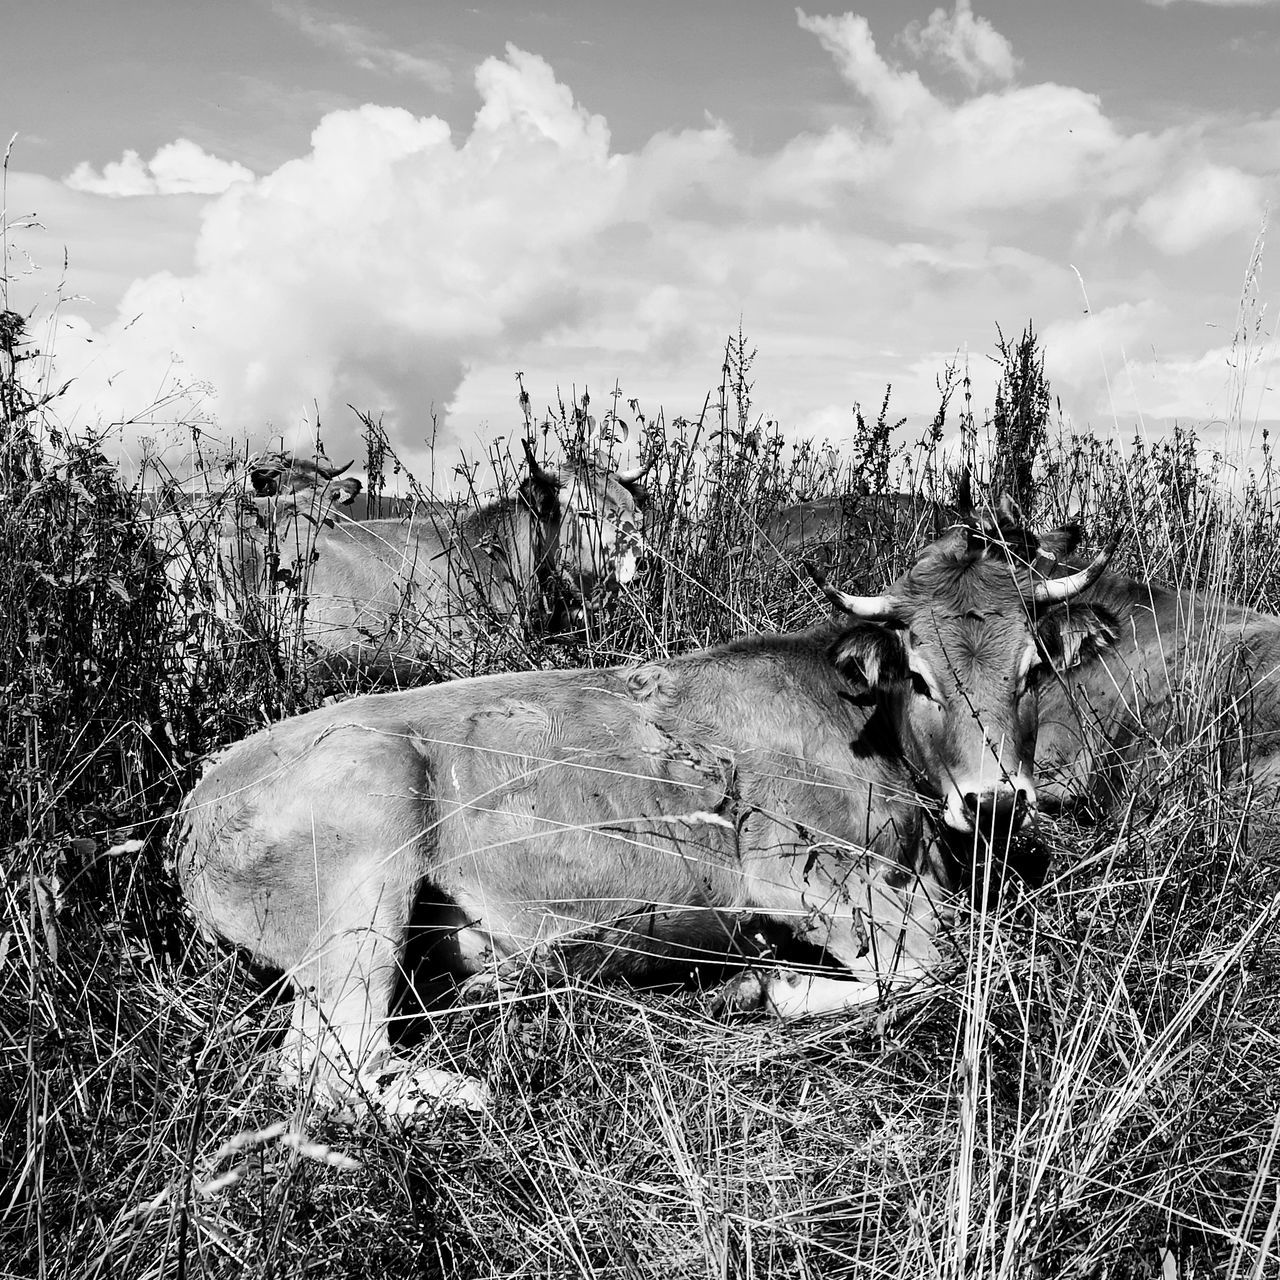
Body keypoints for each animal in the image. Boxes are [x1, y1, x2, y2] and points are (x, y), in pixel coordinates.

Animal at [175, 494, 1116, 1116]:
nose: (995, 802)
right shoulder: (799, 872)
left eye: (1035, 669)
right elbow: (934, 965)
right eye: (920, 676)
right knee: (326, 1064)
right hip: (364, 867)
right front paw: (765, 988)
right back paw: (481, 1077)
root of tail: (195, 804)